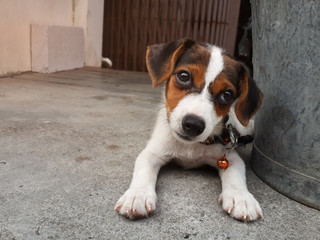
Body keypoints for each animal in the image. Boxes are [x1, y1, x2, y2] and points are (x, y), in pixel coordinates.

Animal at [114, 39, 262, 221]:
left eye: (227, 94)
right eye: (184, 76)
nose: (193, 124)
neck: (191, 147)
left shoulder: (230, 158)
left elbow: (236, 176)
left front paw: (241, 197)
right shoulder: (152, 152)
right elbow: (143, 171)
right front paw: (138, 195)